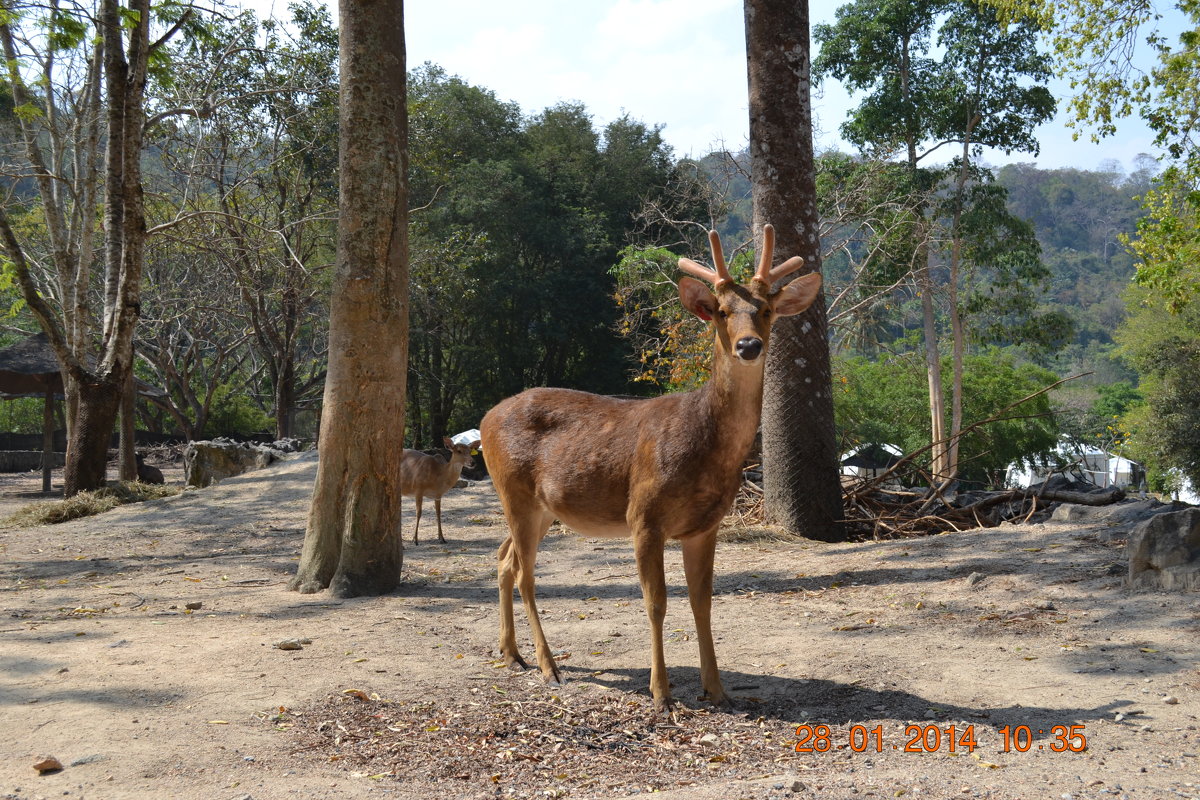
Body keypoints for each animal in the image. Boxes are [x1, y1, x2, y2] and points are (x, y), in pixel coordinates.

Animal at [482, 226, 820, 714]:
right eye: (721, 312)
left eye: (767, 310)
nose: (748, 345)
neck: (705, 451)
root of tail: (485, 419)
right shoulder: (643, 515)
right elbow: (656, 602)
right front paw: (661, 693)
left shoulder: (705, 525)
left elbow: (703, 602)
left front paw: (716, 689)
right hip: (514, 491)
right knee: (526, 573)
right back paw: (549, 666)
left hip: (542, 507)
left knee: (504, 558)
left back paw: (511, 654)